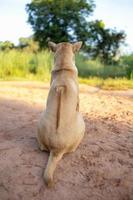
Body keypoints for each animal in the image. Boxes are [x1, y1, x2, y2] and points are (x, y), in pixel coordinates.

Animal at [37, 41, 85, 187]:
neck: (64, 66)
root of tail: (56, 150)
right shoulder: (78, 100)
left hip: (40, 120)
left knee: (42, 147)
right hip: (82, 123)